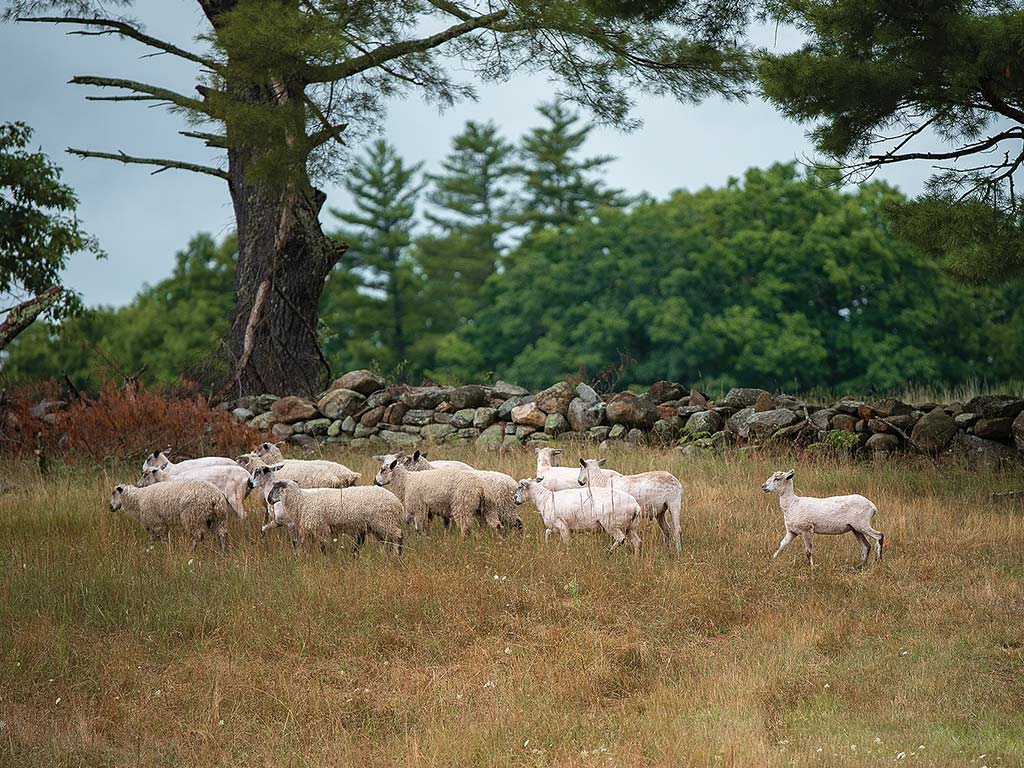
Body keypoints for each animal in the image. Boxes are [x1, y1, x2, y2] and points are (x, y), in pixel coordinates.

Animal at [260, 479, 403, 557]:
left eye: (275, 488)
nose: (268, 500)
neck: (301, 501)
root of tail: (397, 502)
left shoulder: (321, 526)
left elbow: (323, 546)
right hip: (377, 525)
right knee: (388, 540)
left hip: (384, 521)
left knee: (398, 535)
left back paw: (398, 554)